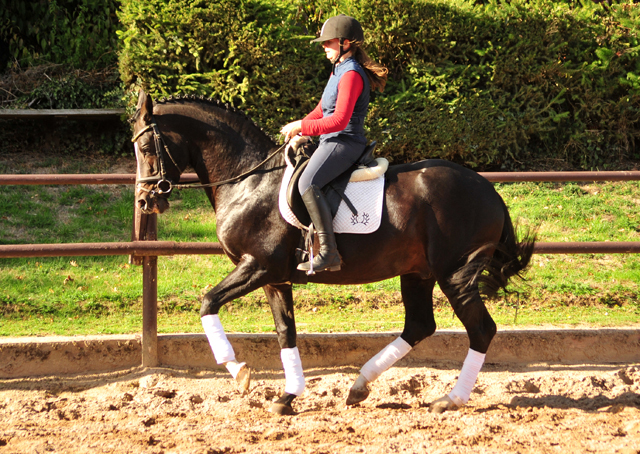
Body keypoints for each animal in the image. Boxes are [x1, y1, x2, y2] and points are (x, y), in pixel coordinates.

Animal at [131, 91, 536, 414]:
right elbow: (286, 332)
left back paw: (450, 399)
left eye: (147, 148)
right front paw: (287, 397)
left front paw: (240, 371)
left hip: (454, 275)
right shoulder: (275, 280)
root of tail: (489, 190)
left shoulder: (257, 267)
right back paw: (359, 386)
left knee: (480, 330)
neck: (249, 181)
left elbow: (207, 302)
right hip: (417, 273)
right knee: (420, 326)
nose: (145, 201)